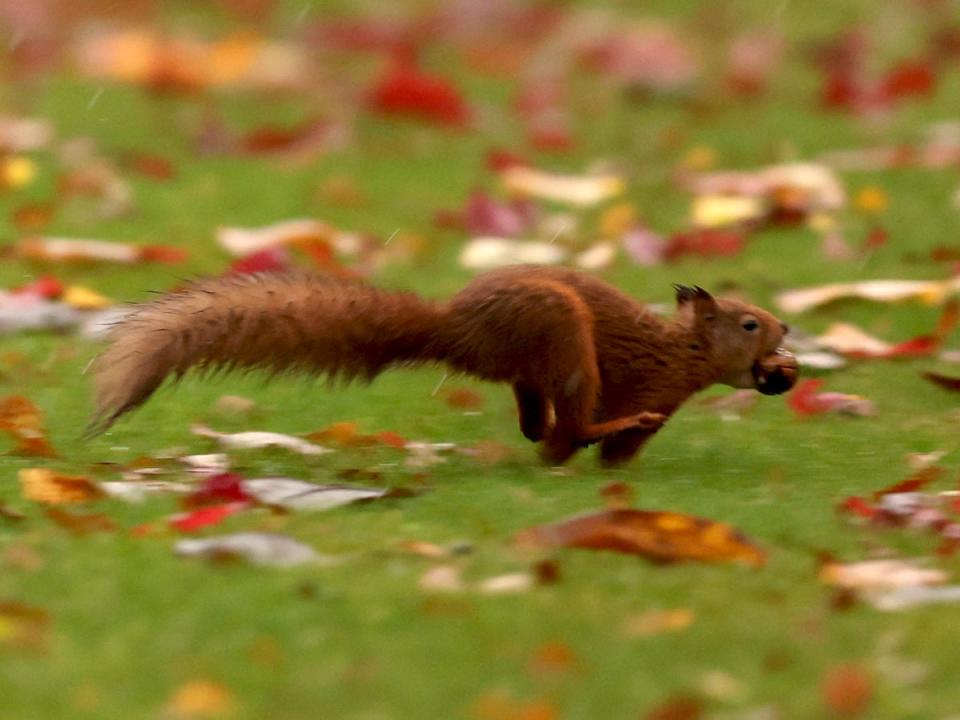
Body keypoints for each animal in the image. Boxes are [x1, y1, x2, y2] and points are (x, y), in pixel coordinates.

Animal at [88, 268, 796, 464]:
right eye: (749, 323)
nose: (787, 333)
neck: (681, 353)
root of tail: (455, 329)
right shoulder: (652, 383)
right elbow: (625, 437)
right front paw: (619, 449)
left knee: (535, 416)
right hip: (563, 336)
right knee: (564, 430)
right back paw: (580, 437)